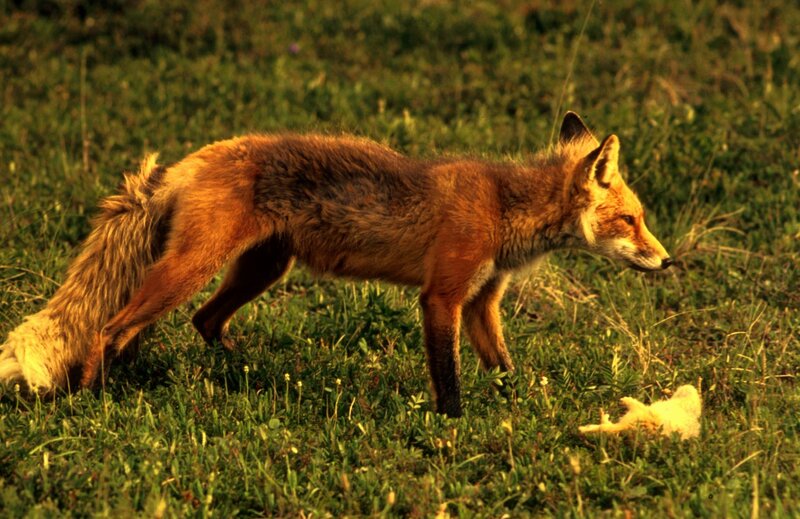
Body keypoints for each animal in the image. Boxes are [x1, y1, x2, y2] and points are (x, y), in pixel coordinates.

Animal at [0, 112, 671, 417]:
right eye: (632, 220)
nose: (667, 261)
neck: (504, 207)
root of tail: (187, 162)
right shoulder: (442, 297)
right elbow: (449, 378)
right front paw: (455, 427)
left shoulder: (482, 303)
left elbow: (504, 368)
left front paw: (521, 408)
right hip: (193, 268)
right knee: (110, 328)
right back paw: (92, 396)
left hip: (261, 270)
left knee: (199, 323)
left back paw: (232, 371)